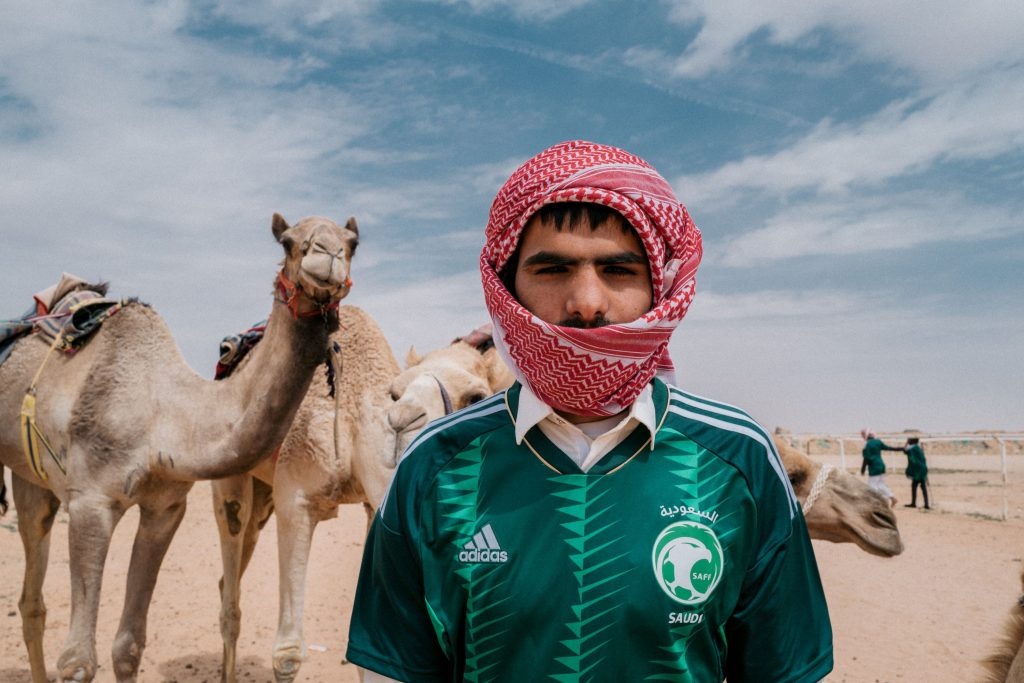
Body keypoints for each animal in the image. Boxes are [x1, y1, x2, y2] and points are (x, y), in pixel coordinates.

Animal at [0, 214, 360, 683]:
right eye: (288, 242)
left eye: (353, 242)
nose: (328, 254)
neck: (164, 416)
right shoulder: (89, 503)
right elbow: (78, 662)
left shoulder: (166, 506)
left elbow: (128, 647)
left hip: (32, 475)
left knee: (32, 593)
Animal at [210, 317, 512, 679]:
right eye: (395, 393)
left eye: (476, 396)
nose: (402, 421)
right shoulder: (294, 496)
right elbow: (287, 653)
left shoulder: (378, 505)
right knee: (233, 527)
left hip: (262, 493)